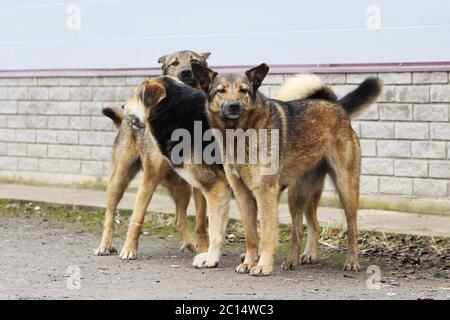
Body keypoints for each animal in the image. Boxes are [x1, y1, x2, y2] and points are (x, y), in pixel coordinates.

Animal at [93, 50, 213, 260]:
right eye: (174, 63)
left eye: (195, 61)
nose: (186, 72)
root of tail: (125, 120)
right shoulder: (149, 178)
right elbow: (137, 218)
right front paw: (129, 249)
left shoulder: (199, 183)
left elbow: (199, 222)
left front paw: (204, 250)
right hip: (118, 179)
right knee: (109, 215)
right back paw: (105, 245)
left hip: (182, 187)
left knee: (180, 219)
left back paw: (189, 243)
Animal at [193, 62, 384, 276]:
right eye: (221, 90)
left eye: (243, 91)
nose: (234, 106)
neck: (239, 134)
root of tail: (335, 106)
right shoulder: (243, 195)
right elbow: (251, 236)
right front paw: (249, 262)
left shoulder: (265, 193)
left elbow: (267, 235)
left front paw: (263, 265)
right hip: (298, 195)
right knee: (306, 228)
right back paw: (296, 259)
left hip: (346, 190)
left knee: (351, 228)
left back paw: (351, 261)